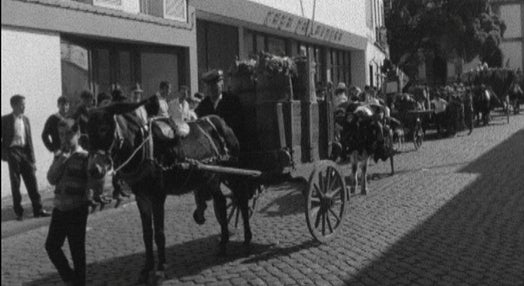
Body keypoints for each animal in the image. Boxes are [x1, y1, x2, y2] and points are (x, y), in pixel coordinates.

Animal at [85, 101, 254, 284]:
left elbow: (159, 234)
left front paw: (160, 269)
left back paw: (247, 239)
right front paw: (146, 269)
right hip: (213, 178)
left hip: (233, 172)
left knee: (242, 200)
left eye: (103, 128)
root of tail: (221, 121)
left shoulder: (158, 196)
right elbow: (147, 234)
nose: (94, 170)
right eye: (86, 133)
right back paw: (223, 244)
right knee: (222, 204)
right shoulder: (142, 198)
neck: (143, 148)